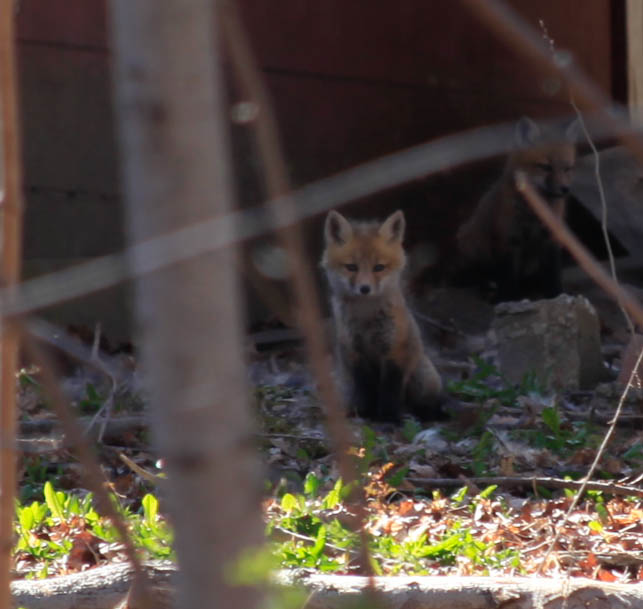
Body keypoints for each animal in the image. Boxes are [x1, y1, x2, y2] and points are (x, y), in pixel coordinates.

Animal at [321, 209, 444, 423]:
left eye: (378, 267)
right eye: (351, 267)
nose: (364, 289)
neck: (366, 316)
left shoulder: (395, 351)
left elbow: (390, 391)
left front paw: (389, 417)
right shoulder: (355, 352)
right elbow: (366, 389)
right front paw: (366, 414)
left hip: (420, 376)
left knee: (424, 403)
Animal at [456, 116, 580, 301]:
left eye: (567, 168)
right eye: (545, 167)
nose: (565, 189)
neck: (534, 214)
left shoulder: (551, 237)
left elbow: (553, 274)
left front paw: (557, 294)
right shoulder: (509, 239)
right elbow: (509, 276)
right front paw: (509, 298)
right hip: (471, 244)